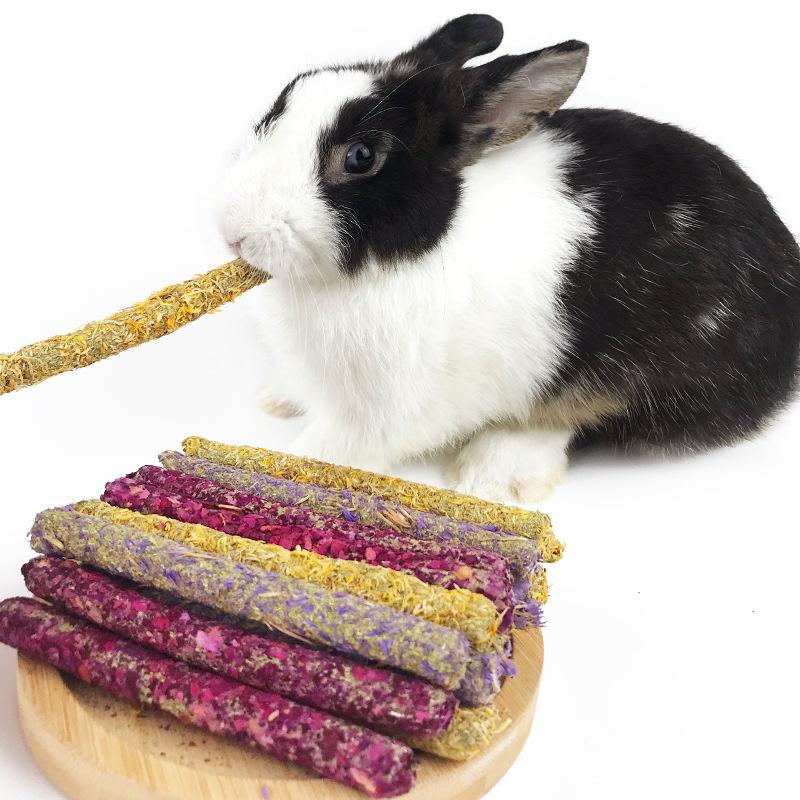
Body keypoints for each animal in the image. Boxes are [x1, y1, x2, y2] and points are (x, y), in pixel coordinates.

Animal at [217, 14, 800, 503]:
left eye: (361, 158)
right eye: (285, 101)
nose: (234, 231)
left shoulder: (381, 412)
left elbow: (327, 449)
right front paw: (277, 399)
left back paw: (494, 474)